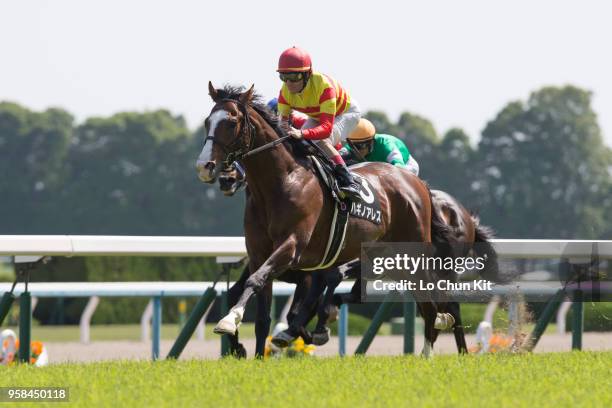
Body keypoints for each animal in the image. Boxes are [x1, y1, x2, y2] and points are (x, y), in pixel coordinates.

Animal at [196, 83, 454, 356]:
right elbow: (259, 310)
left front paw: (229, 320)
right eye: (207, 121)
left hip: (412, 249)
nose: (206, 166)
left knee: (429, 302)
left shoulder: (293, 247)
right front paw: (248, 349)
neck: (281, 182)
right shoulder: (258, 254)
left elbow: (260, 284)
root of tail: (416, 182)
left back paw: (428, 350)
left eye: (231, 122)